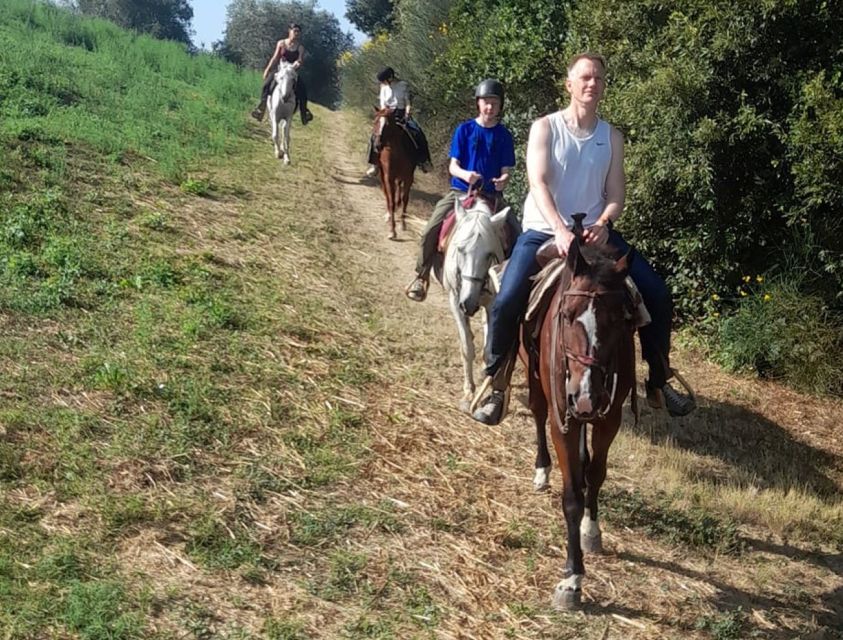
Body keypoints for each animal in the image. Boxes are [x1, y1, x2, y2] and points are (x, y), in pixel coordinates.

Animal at [374, 107, 418, 240]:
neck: (396, 154)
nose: (377, 145)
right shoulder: (389, 177)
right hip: (383, 176)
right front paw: (392, 231)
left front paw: (403, 224)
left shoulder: (408, 178)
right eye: (375, 122)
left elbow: (405, 199)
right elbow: (391, 201)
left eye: (387, 125)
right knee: (387, 195)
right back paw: (388, 215)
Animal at [442, 198, 516, 412]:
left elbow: (487, 348)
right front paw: (469, 390)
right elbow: (467, 346)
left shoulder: (491, 304)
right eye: (460, 250)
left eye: (489, 254)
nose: (468, 303)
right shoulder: (455, 300)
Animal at [524, 215, 636, 608]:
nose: (585, 396)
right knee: (537, 415)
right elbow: (571, 494)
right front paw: (572, 579)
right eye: (567, 314)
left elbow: (596, 474)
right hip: (536, 382)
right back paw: (541, 471)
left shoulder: (609, 418)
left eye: (618, 320)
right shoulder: (565, 420)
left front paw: (592, 529)